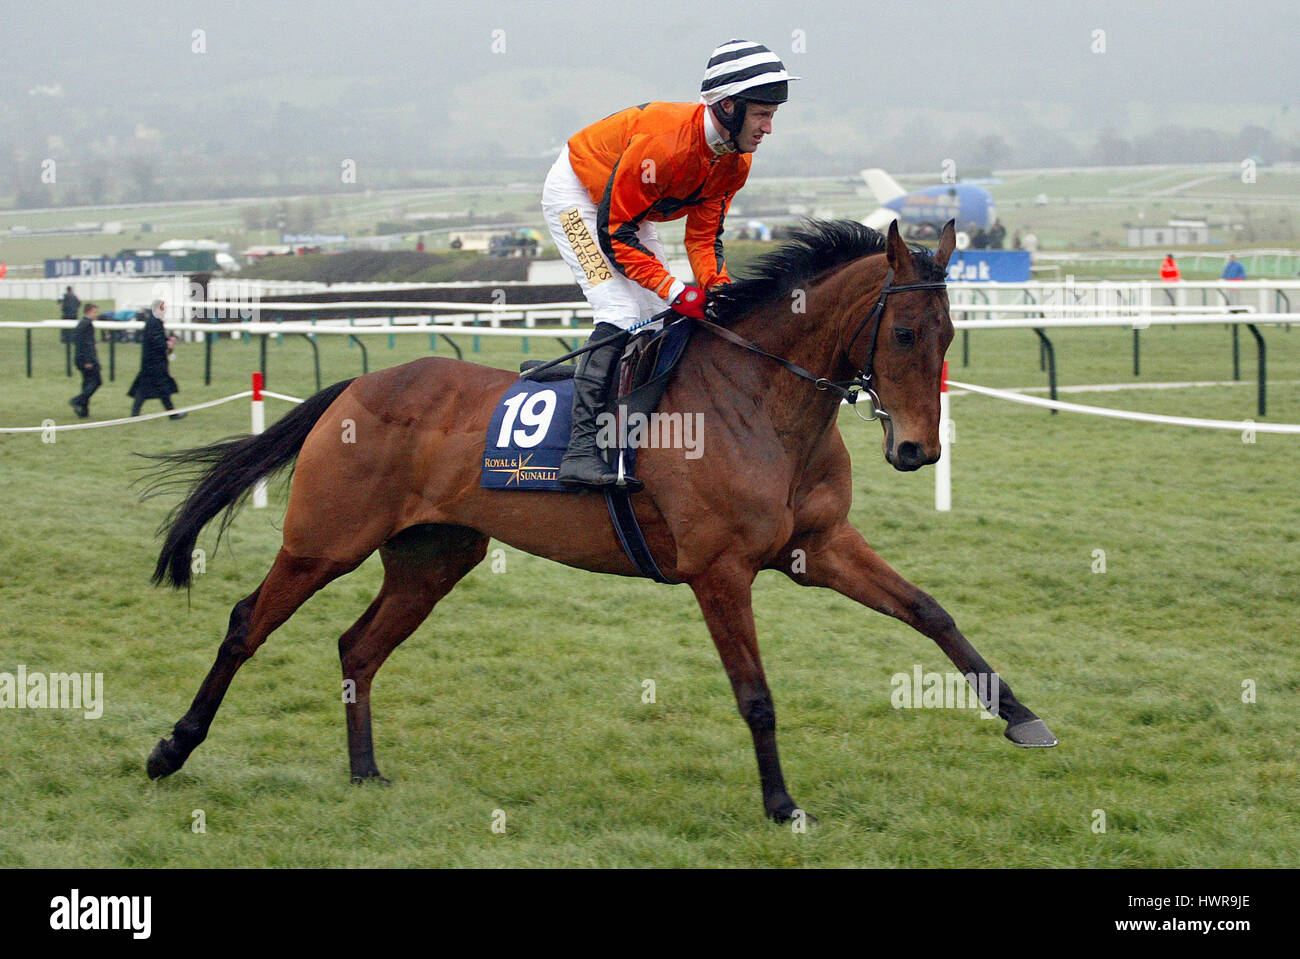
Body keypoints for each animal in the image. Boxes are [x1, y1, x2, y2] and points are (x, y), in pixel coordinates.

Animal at [142, 218, 1055, 821]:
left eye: (950, 332)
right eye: (902, 331)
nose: (917, 449)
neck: (762, 402)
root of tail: (354, 389)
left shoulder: (820, 545)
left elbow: (931, 611)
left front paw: (1021, 716)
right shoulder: (719, 569)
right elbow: (756, 693)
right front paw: (781, 801)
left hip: (432, 556)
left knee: (356, 647)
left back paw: (365, 772)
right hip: (324, 539)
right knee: (245, 623)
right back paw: (170, 747)